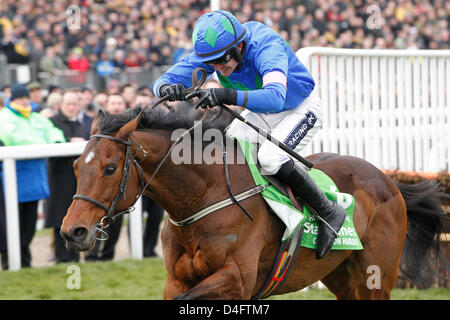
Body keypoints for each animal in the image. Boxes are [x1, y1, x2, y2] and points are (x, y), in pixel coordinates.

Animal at [59, 106, 446, 298]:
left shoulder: (237, 279)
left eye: (110, 168)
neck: (202, 197)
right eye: (76, 166)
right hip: (339, 274)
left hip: (376, 275)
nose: (72, 231)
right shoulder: (176, 280)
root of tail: (388, 180)